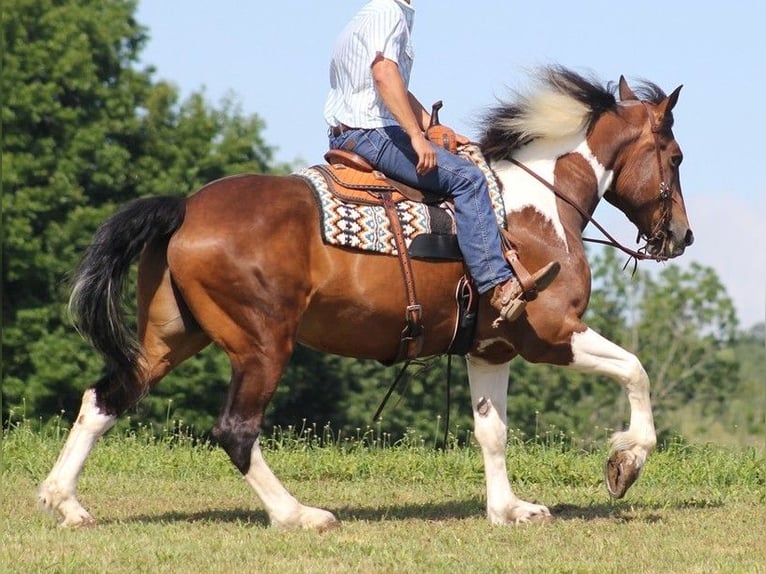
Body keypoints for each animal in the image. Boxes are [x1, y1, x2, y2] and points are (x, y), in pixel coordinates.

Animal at [39, 66, 692, 532]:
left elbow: (493, 433)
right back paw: (298, 515)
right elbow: (635, 371)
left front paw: (508, 510)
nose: (682, 236)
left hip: (170, 337)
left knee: (105, 398)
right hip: (262, 346)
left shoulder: (491, 349)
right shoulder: (550, 334)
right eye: (677, 157)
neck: (537, 209)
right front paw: (626, 462)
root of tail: (185, 207)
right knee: (235, 430)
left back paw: (64, 501)